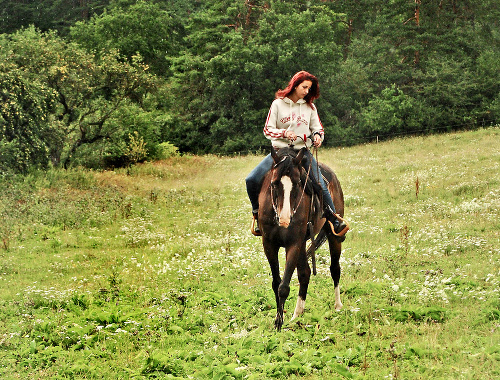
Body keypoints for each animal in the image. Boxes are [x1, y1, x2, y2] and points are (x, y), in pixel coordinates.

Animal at [258, 145, 344, 330]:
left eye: (298, 183)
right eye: (274, 183)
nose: (284, 219)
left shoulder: (294, 243)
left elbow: (283, 286)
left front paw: (278, 325)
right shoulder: (269, 245)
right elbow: (276, 283)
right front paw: (279, 319)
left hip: (332, 236)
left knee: (335, 268)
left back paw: (338, 306)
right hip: (304, 244)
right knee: (305, 273)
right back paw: (297, 314)